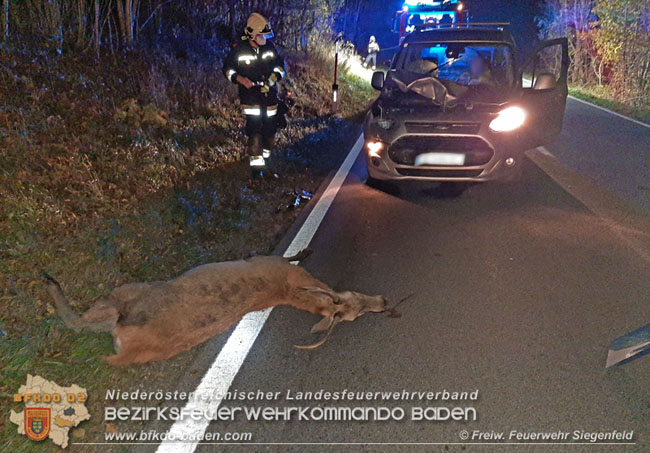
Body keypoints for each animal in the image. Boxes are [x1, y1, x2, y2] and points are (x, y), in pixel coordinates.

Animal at [44, 252, 384, 366]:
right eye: (357, 304)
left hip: (127, 292)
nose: (383, 303)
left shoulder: (265, 258)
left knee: (81, 321)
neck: (290, 287)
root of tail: (127, 350)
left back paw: (50, 284)